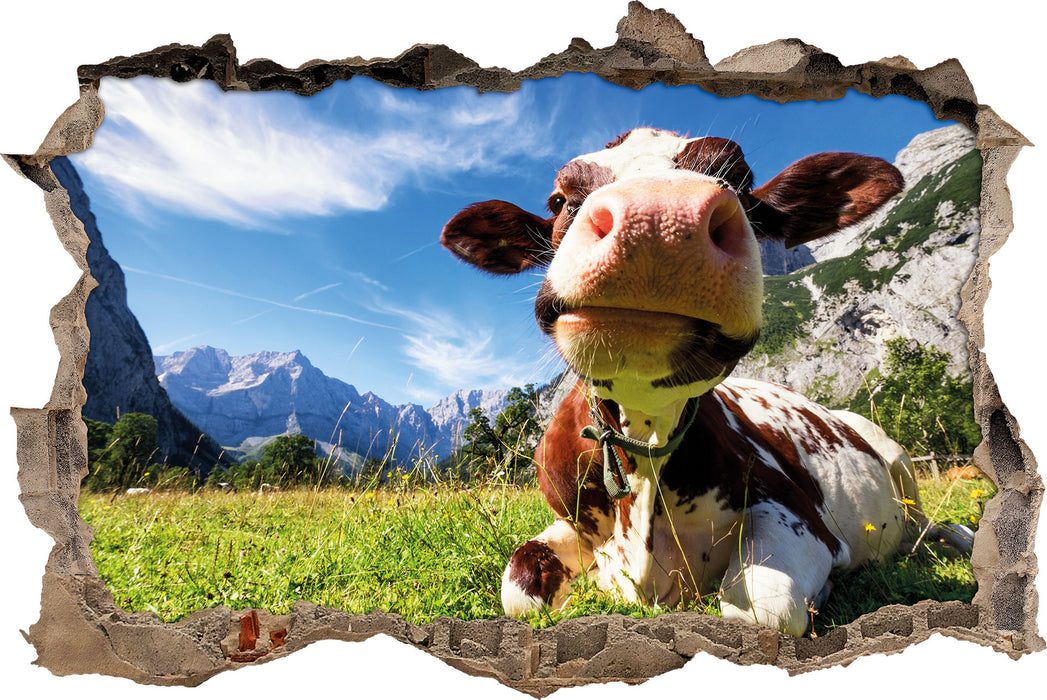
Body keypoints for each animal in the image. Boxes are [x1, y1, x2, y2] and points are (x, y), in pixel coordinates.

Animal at [440, 127, 971, 636]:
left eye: (739, 178)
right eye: (558, 199)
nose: (658, 218)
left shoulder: (799, 514)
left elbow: (762, 609)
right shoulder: (567, 522)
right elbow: (518, 586)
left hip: (897, 458)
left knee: (926, 525)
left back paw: (958, 539)